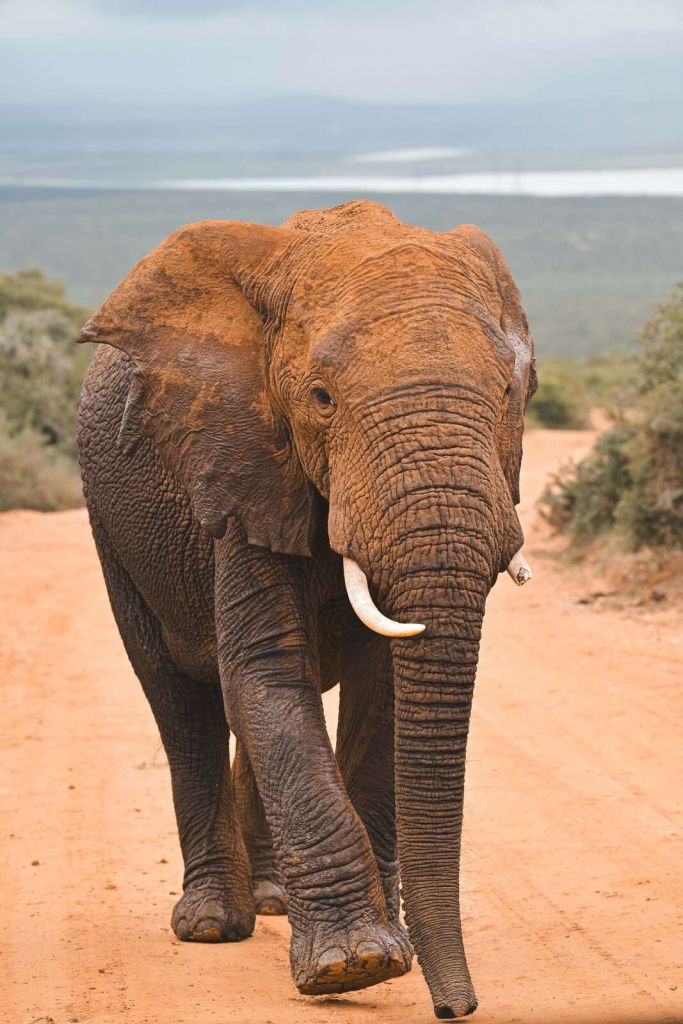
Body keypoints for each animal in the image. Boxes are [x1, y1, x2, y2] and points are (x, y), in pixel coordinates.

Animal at [77, 199, 536, 1019]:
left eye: (512, 395)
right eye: (321, 400)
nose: (455, 1007)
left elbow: (382, 692)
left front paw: (388, 951)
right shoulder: (241, 460)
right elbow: (265, 674)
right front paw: (354, 965)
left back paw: (270, 903)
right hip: (113, 528)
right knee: (181, 702)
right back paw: (213, 923)